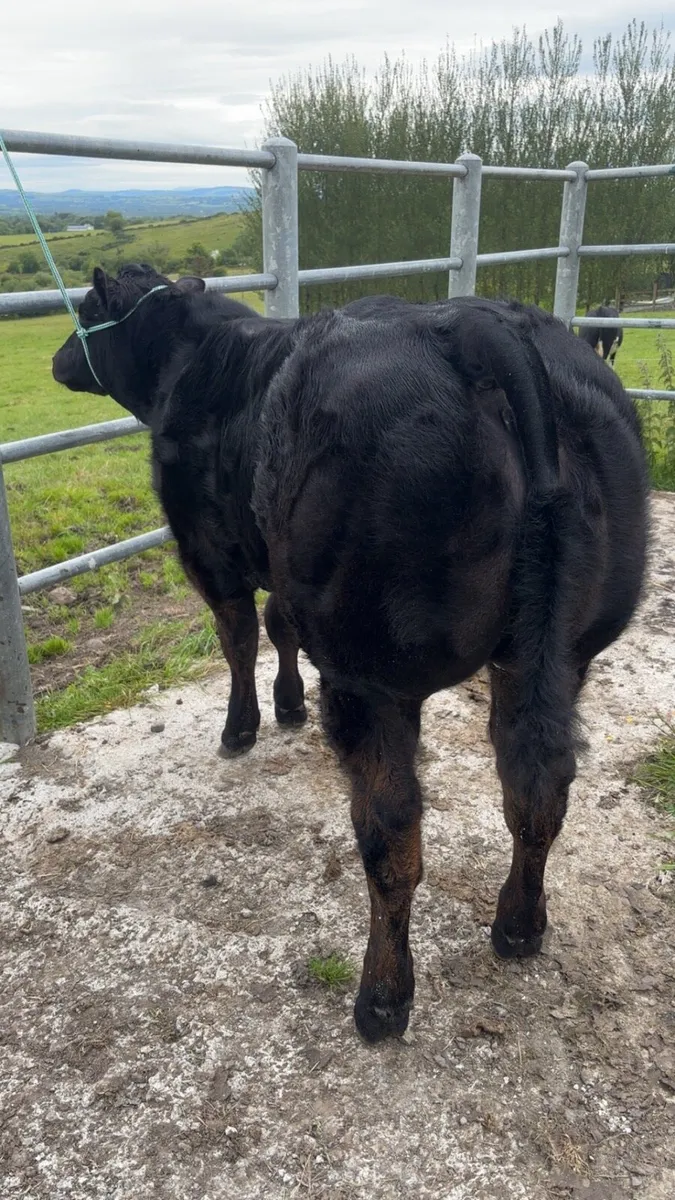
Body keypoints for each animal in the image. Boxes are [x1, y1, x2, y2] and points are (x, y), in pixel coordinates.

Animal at [52, 265, 648, 1044]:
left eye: (85, 310)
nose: (58, 359)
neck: (198, 358)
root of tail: (479, 325)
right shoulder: (277, 564)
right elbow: (278, 624)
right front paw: (287, 705)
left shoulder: (209, 552)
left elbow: (239, 635)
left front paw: (242, 727)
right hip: (560, 650)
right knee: (536, 786)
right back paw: (518, 927)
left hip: (372, 671)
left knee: (391, 835)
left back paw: (382, 998)